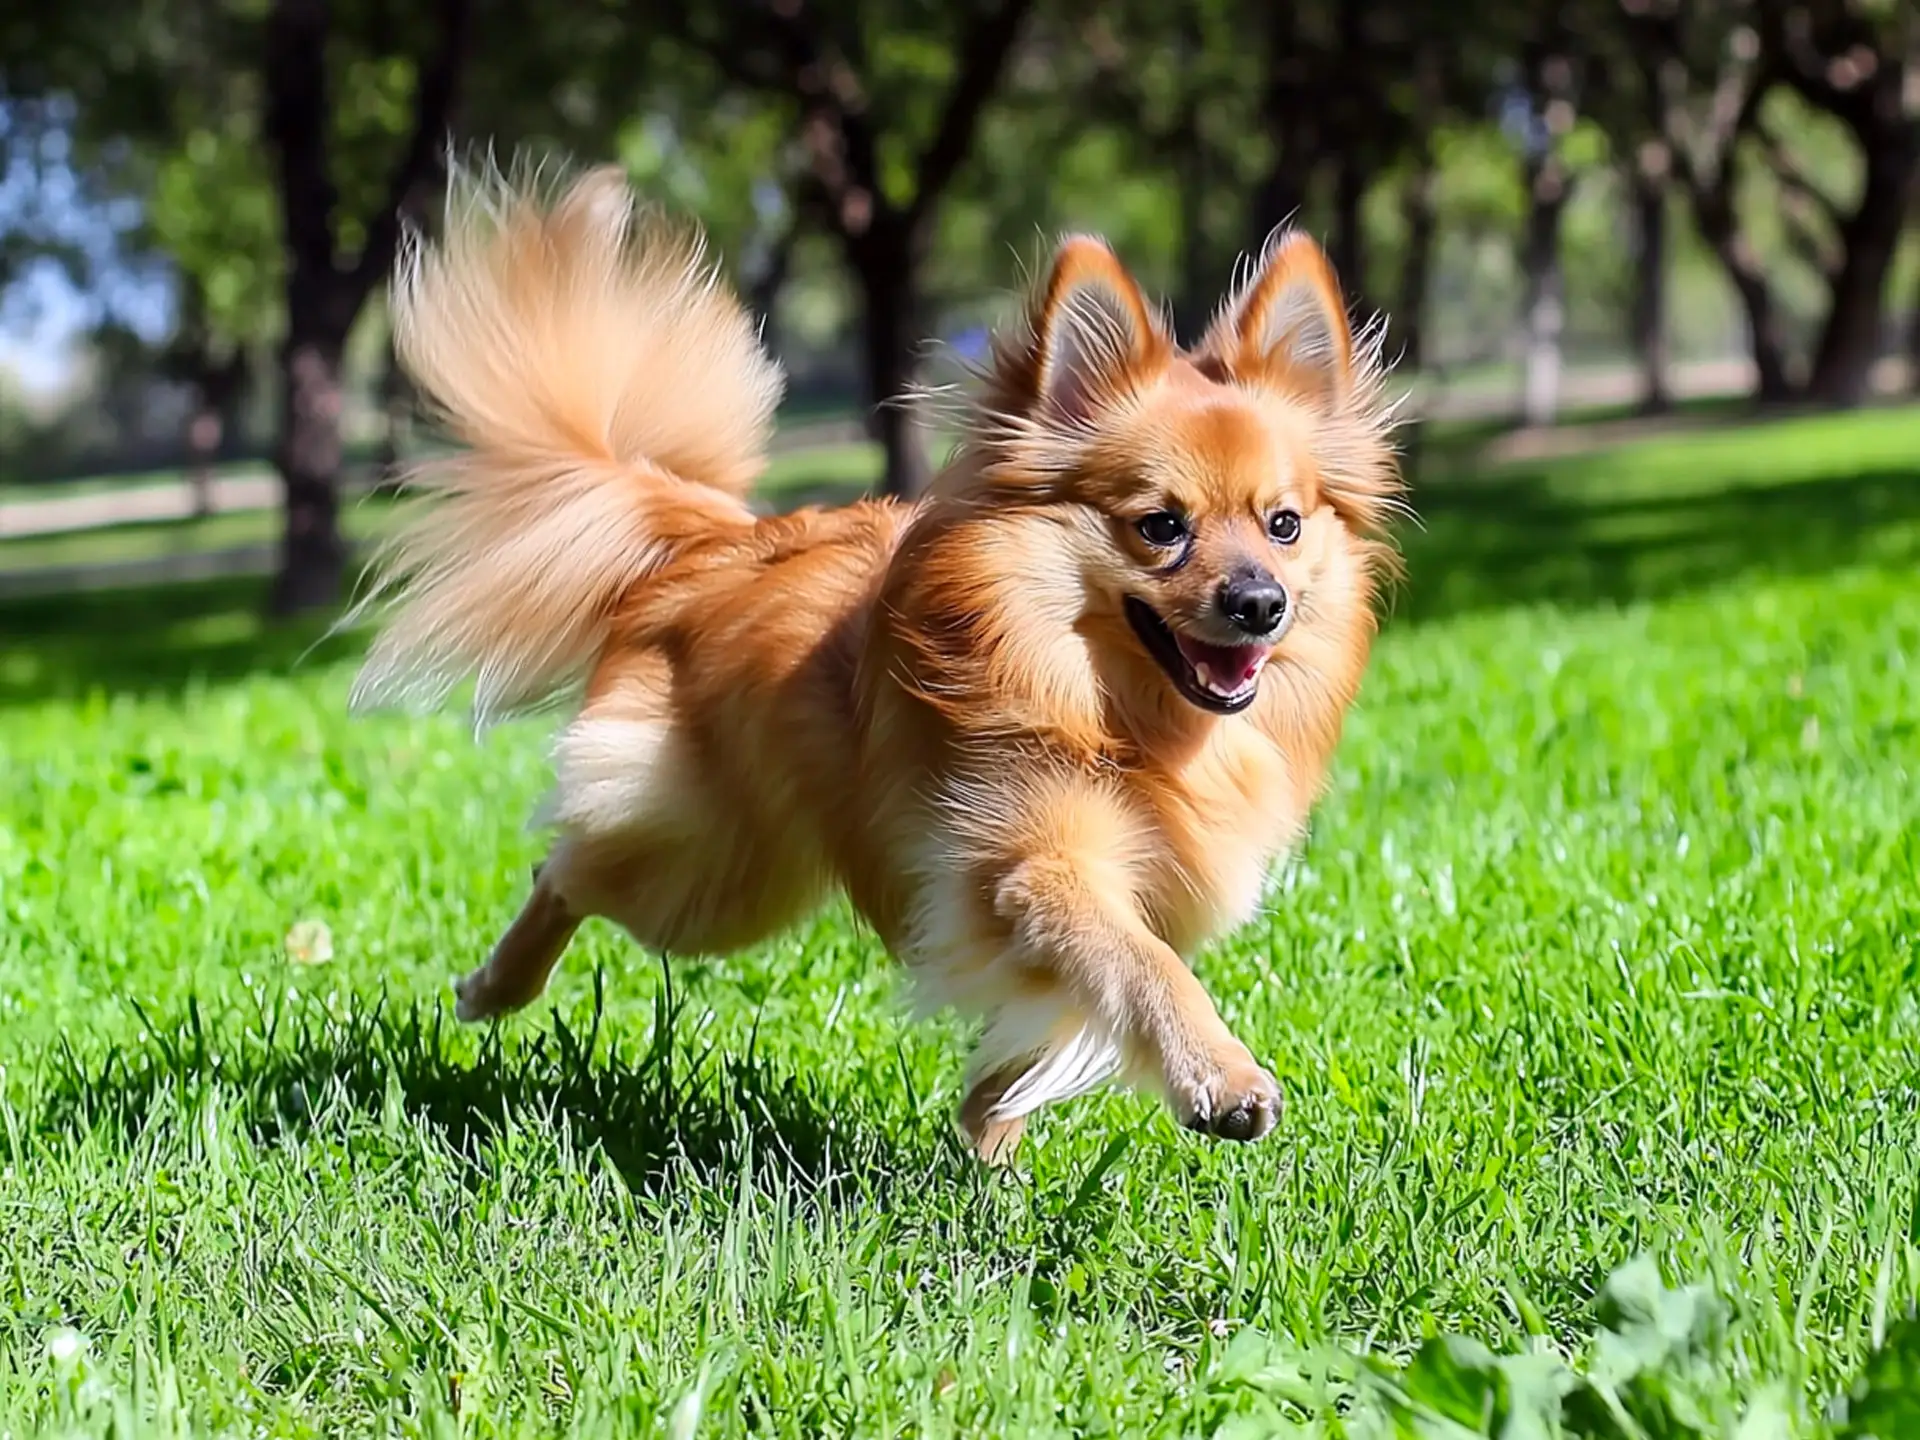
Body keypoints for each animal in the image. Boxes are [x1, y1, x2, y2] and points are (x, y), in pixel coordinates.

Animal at [345, 163, 1405, 1167]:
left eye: (1284, 525)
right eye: (1160, 528)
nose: (1260, 603)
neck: (1126, 721)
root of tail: (718, 539)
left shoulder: (1074, 908)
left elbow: (1045, 1031)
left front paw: (988, 1149)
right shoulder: (1031, 866)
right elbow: (1144, 967)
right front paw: (1221, 1078)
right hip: (716, 878)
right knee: (566, 870)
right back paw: (492, 987)